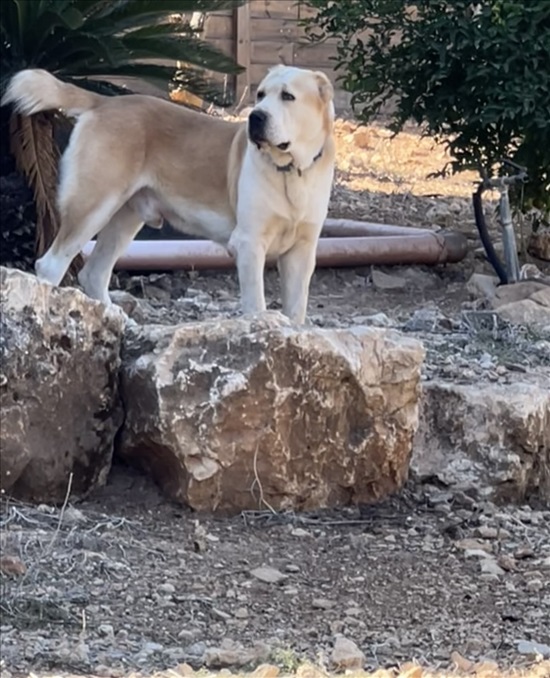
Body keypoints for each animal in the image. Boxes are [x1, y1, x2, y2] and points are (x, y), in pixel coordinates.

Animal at [2, 65, 336, 326]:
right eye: (261, 95)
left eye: (288, 96)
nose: (256, 117)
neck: (292, 171)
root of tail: (105, 102)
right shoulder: (250, 244)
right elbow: (256, 302)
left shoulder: (302, 253)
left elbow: (297, 309)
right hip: (92, 206)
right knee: (51, 265)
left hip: (125, 218)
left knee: (93, 273)